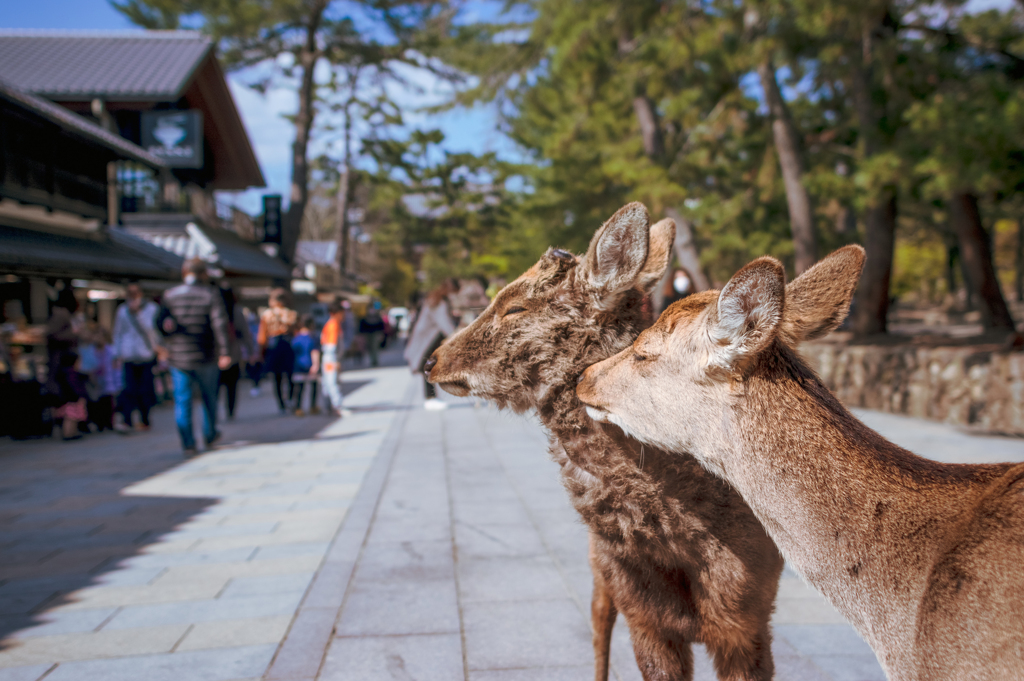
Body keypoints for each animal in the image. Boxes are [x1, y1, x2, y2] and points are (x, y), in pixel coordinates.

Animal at [423, 202, 782, 679]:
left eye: (514, 307)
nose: (433, 360)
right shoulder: (643, 617)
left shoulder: (749, 622)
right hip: (600, 574)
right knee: (598, 637)